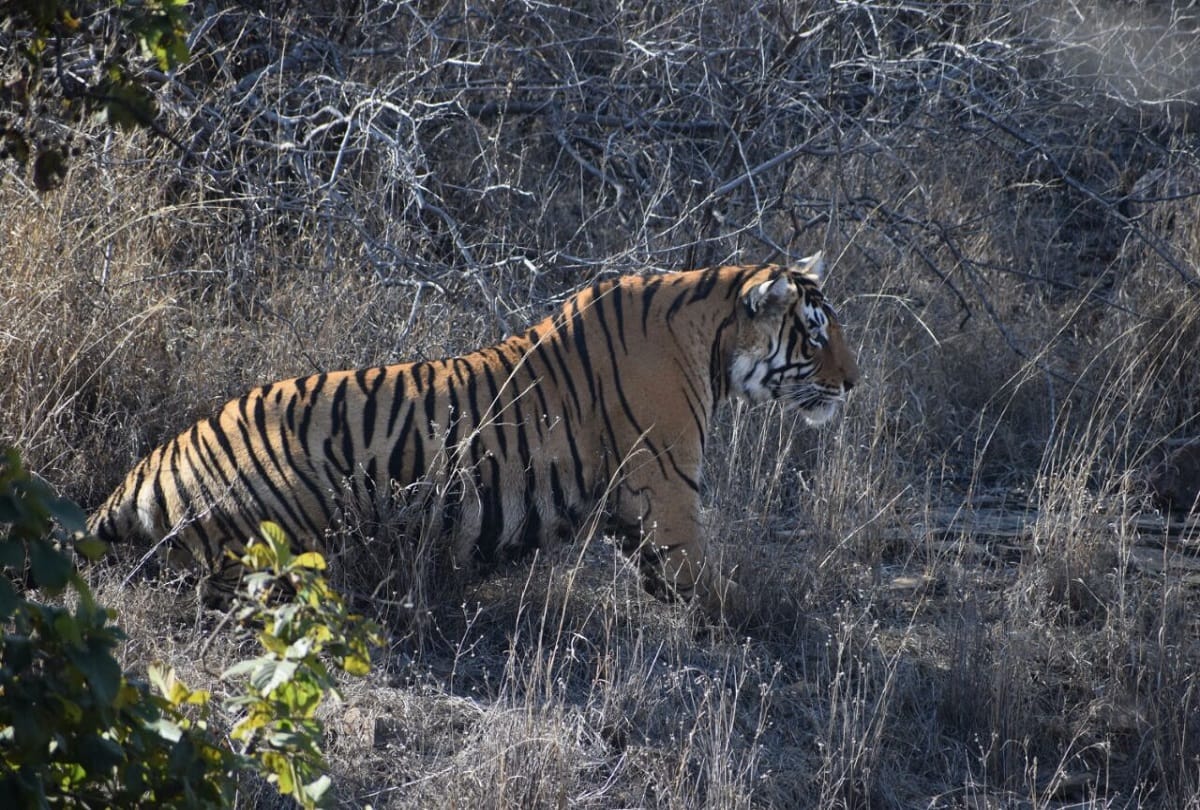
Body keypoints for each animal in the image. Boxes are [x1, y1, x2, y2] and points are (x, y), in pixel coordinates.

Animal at [87, 254, 858, 614]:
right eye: (817, 335)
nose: (854, 382)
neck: (712, 337)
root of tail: (139, 474)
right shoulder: (668, 500)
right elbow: (716, 591)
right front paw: (772, 621)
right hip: (286, 530)